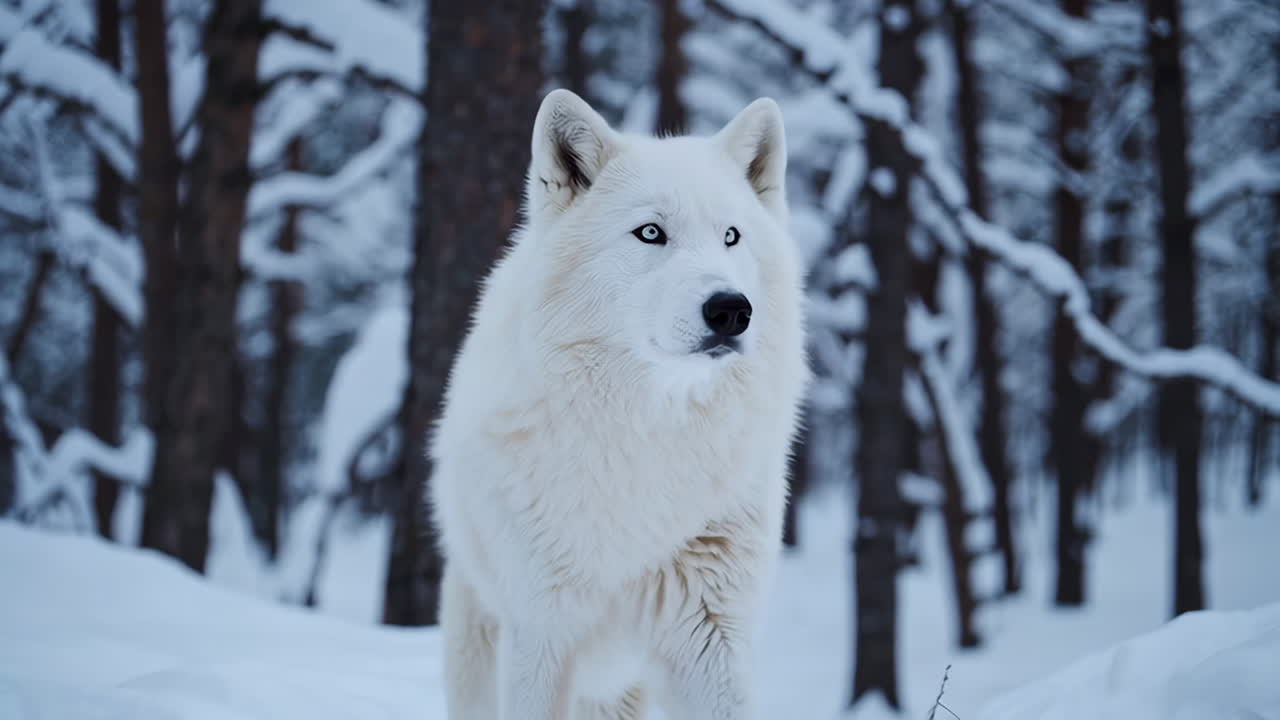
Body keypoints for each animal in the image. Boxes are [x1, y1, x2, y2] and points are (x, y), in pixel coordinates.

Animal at [430, 88, 809, 720]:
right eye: (651, 233)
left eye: (731, 237)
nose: (732, 309)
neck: (648, 436)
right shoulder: (541, 634)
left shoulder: (716, 637)